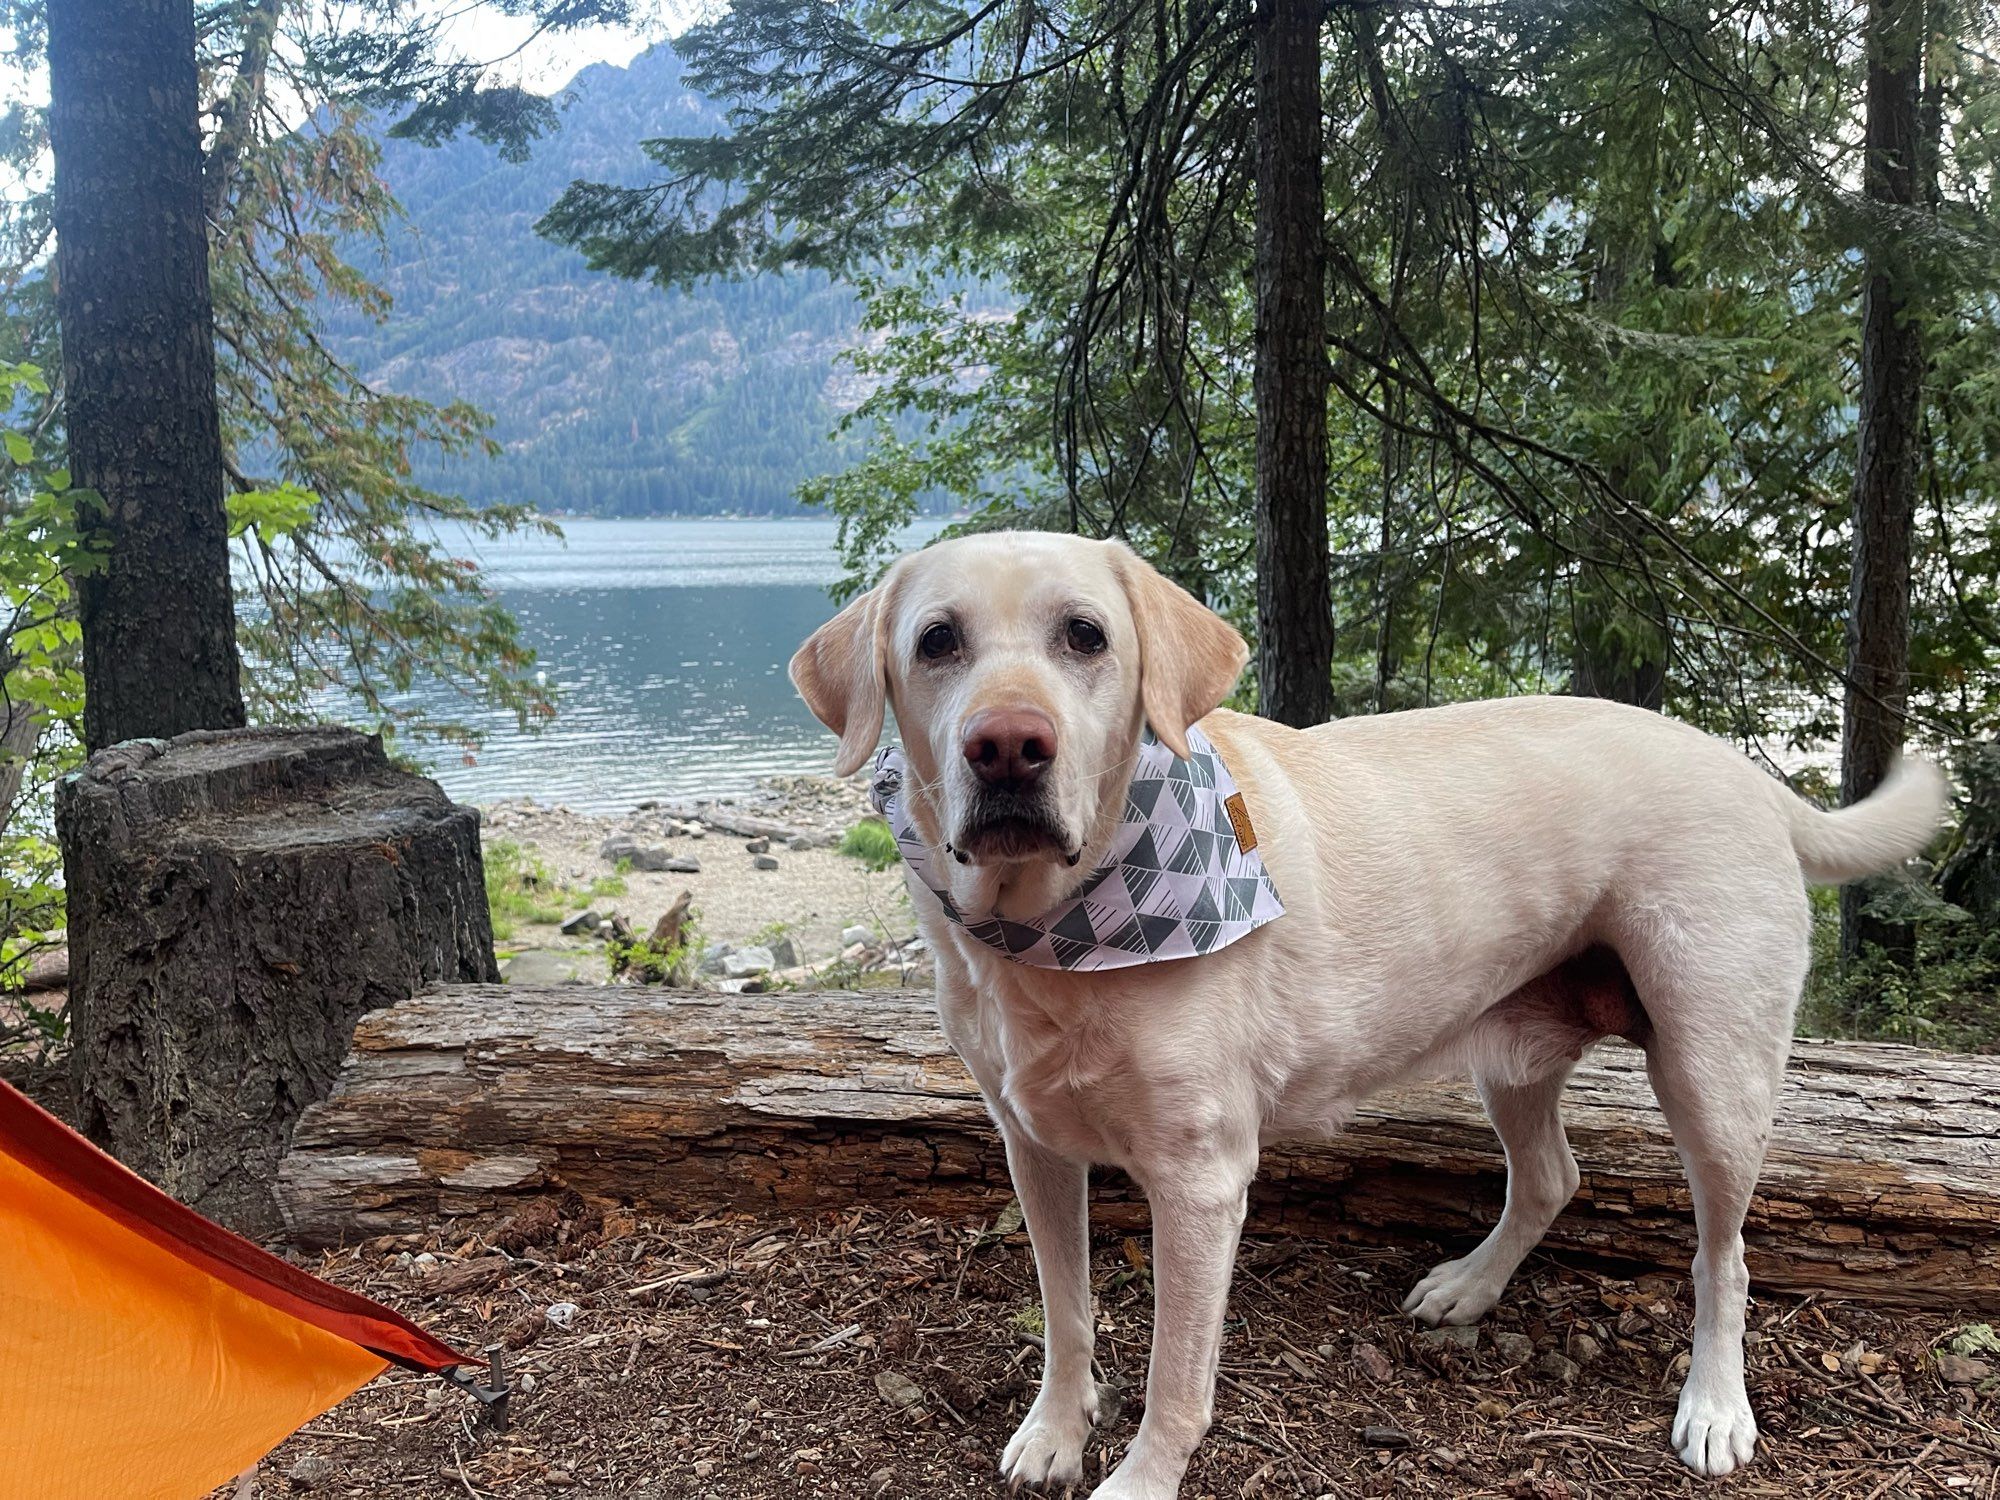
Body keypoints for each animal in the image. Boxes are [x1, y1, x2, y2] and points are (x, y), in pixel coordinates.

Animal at [788, 536, 1944, 1496]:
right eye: (937, 641)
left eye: (1086, 635)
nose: (1008, 746)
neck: (1057, 935)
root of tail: (1744, 771)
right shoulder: (1032, 1145)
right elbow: (1065, 1312)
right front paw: (1054, 1434)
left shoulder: (1201, 1182)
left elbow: (1175, 1375)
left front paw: (1138, 1480)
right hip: (1514, 1055)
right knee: (1551, 1176)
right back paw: (1470, 1288)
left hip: (1712, 1071)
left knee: (1724, 1255)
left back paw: (1713, 1405)